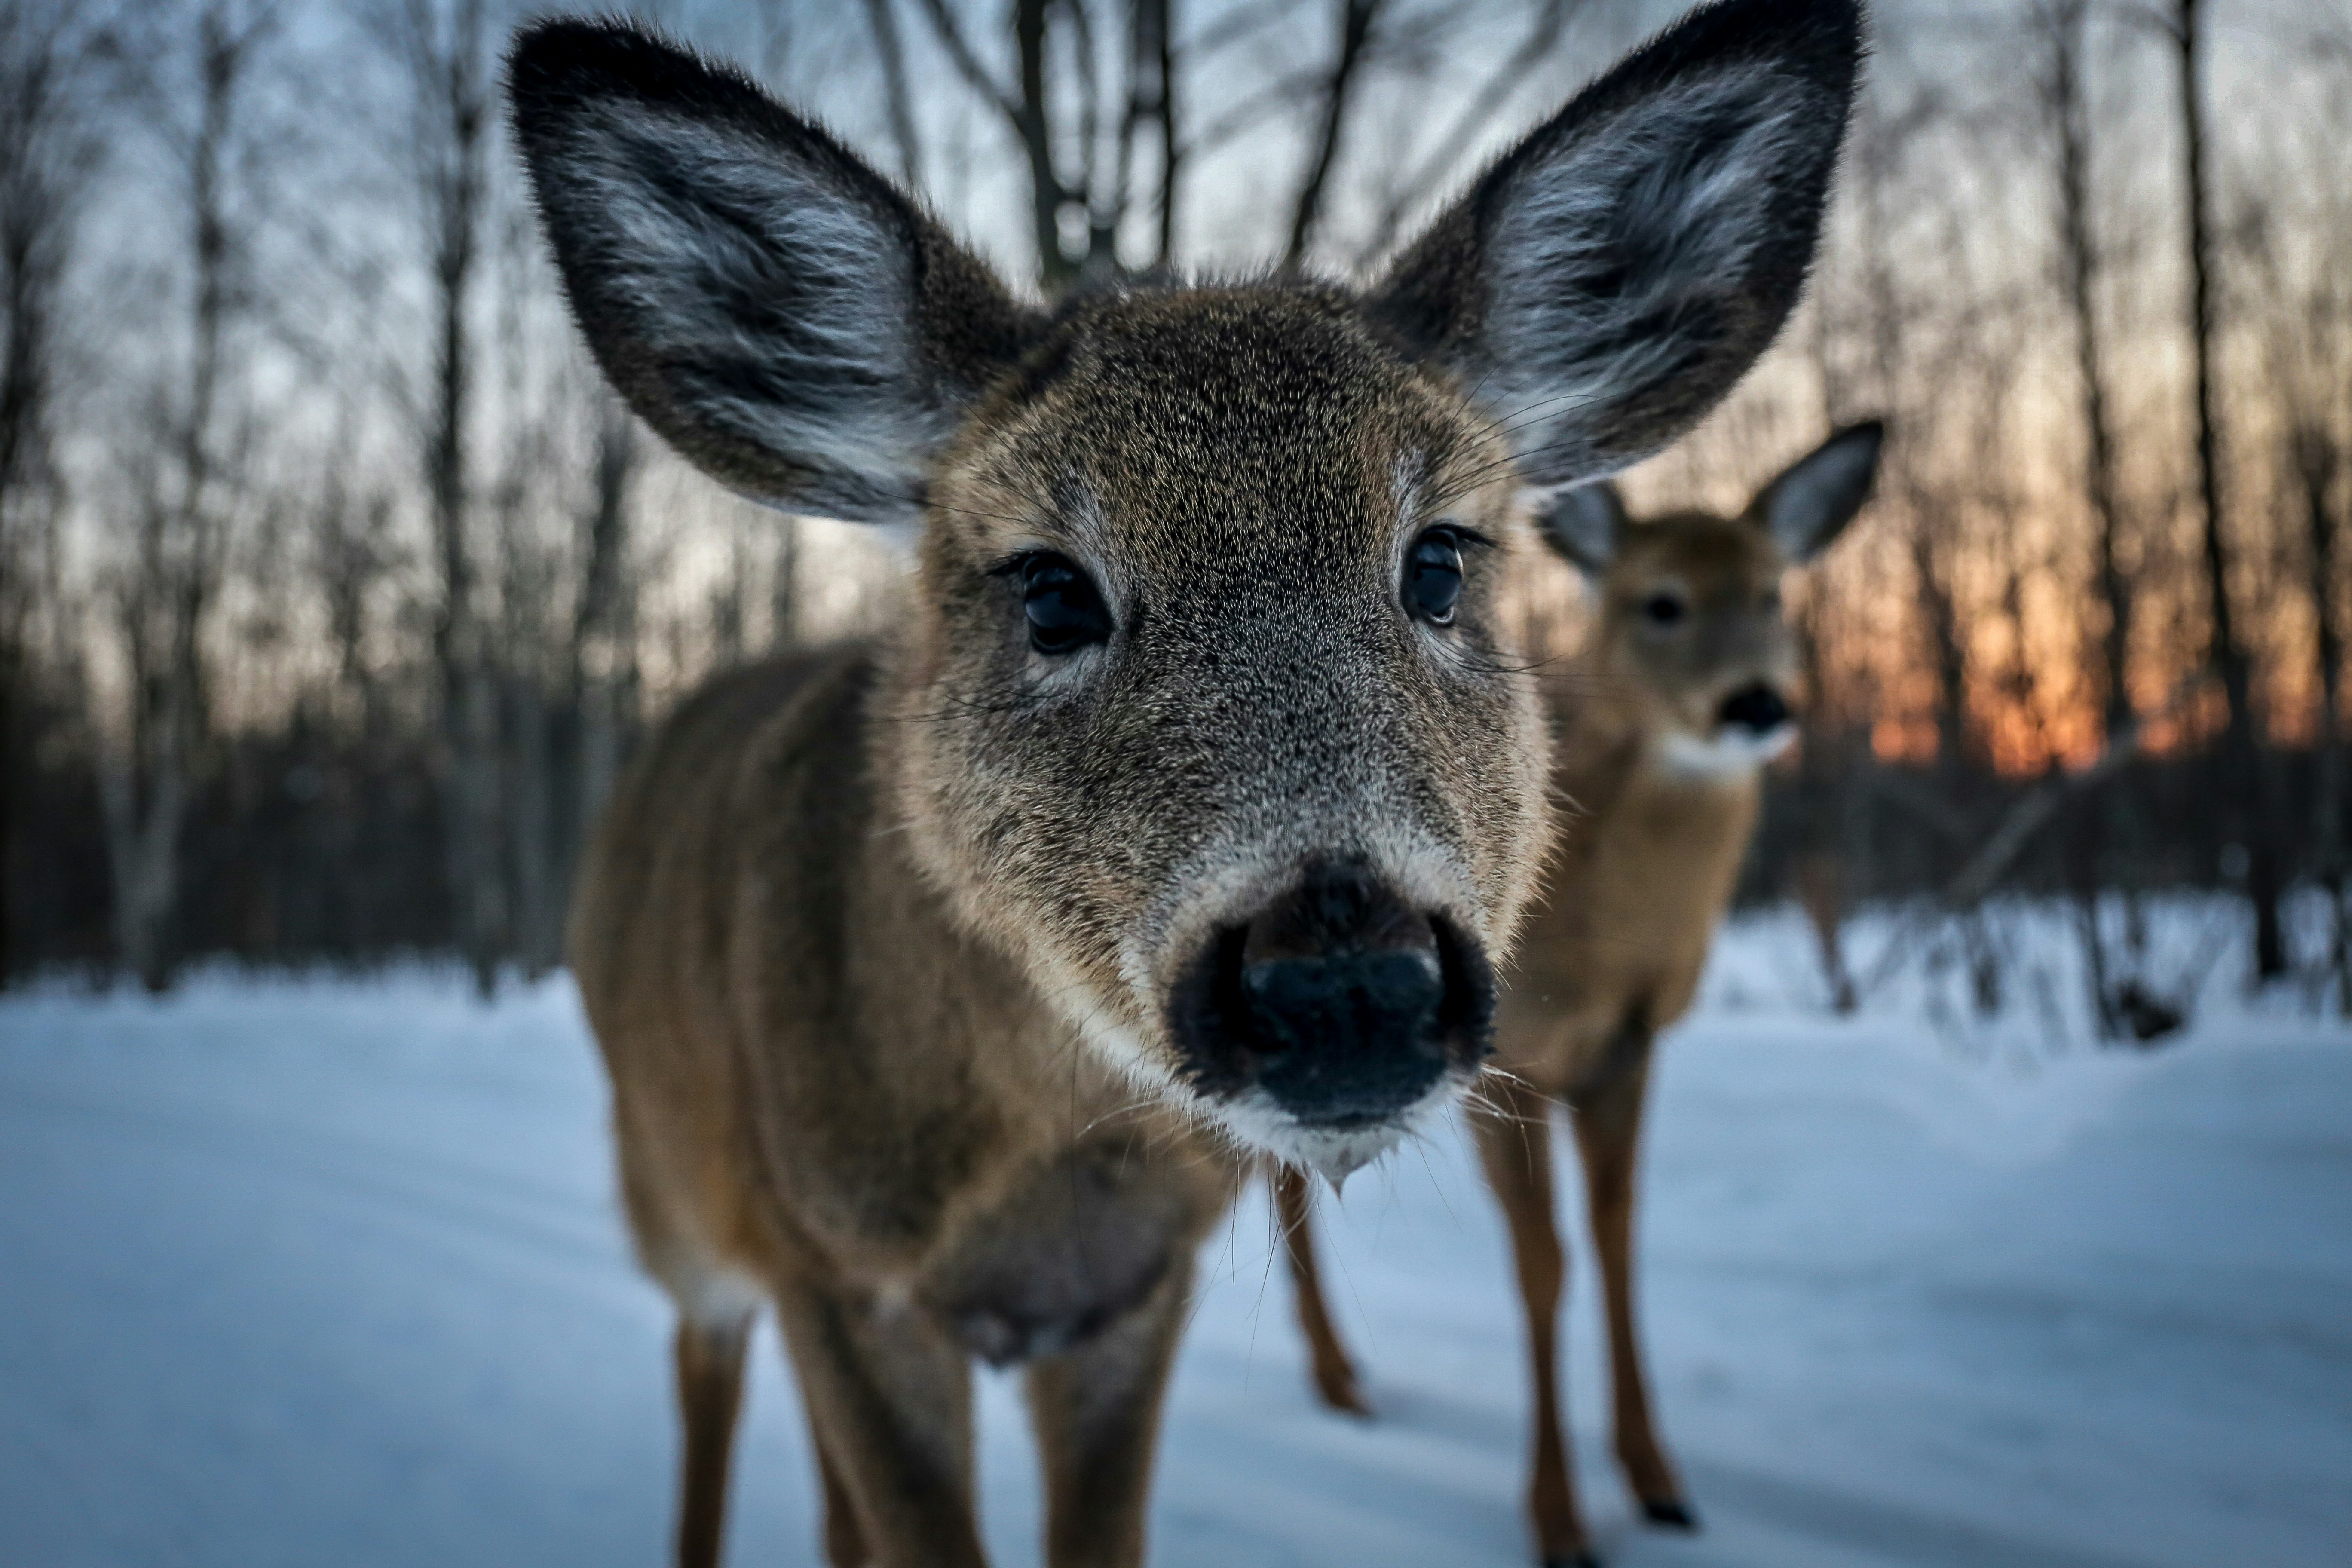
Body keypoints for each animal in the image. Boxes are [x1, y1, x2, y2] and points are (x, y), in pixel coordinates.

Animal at [1276, 420, 1886, 1567]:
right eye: (1660, 601)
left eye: (1771, 593)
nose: (1754, 703)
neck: (1595, 934)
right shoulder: (1499, 1065)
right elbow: (1542, 1263)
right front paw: (1557, 1520)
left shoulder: (1626, 1048)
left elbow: (1614, 1242)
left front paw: (1658, 1482)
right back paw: (1327, 1382)